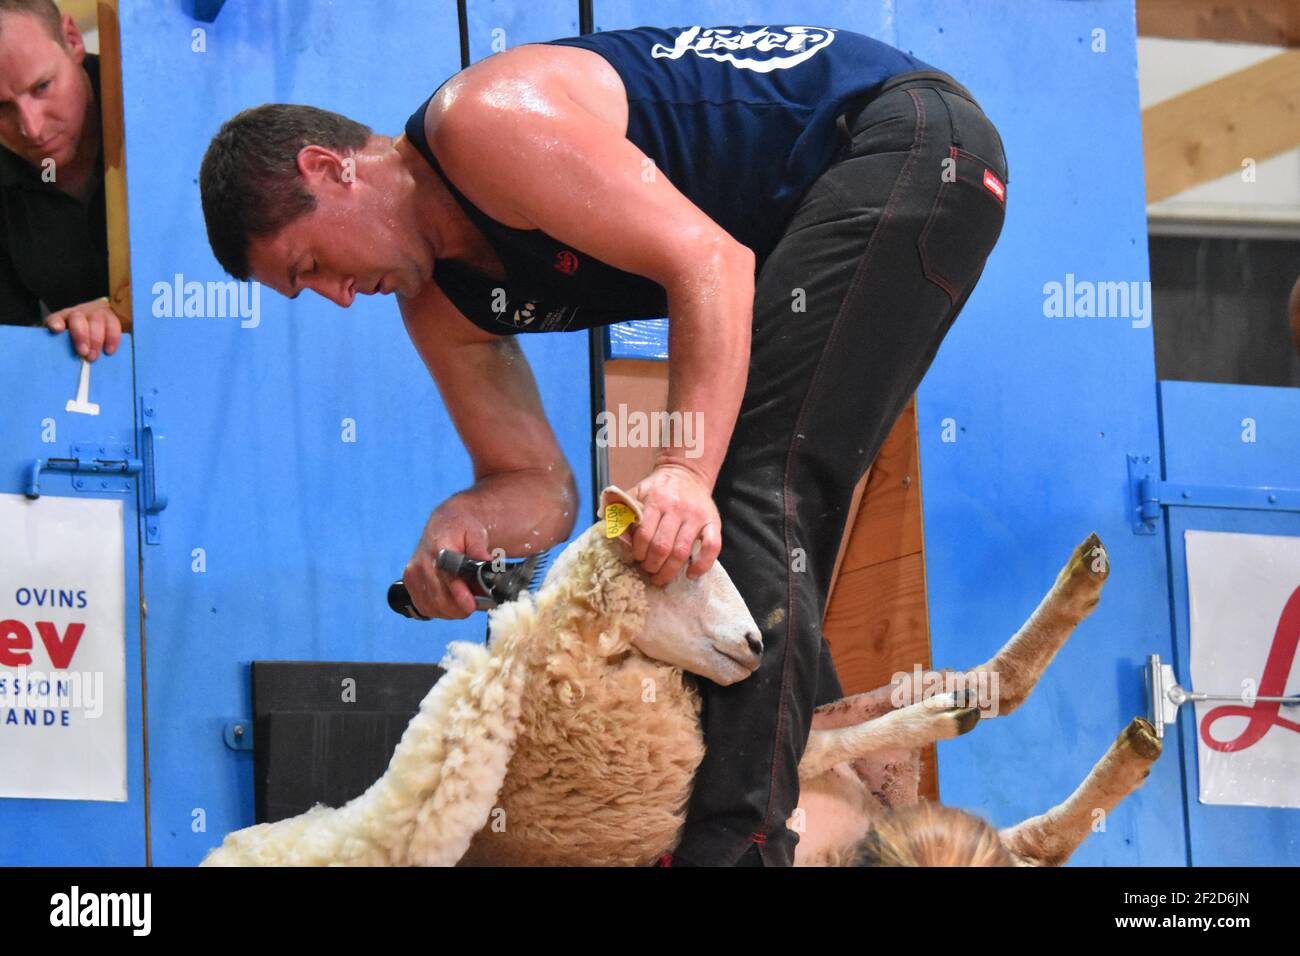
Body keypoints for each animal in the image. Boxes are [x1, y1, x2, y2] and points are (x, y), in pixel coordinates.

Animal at [202, 486, 1159, 868]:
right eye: (680, 570)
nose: (755, 643)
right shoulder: (698, 776)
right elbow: (868, 730)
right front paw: (946, 714)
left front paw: (960, 699)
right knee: (1027, 834)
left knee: (1020, 795)